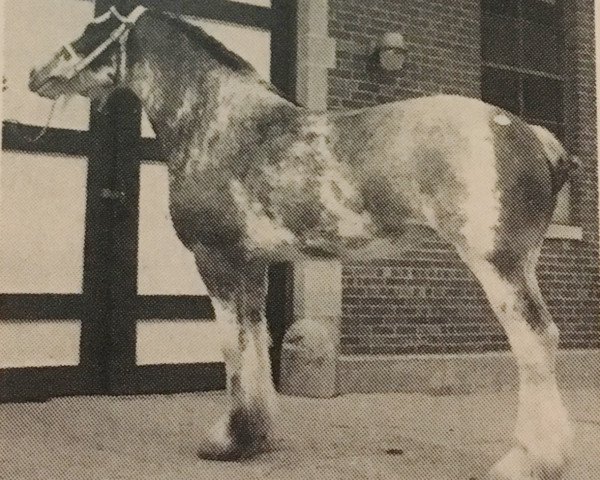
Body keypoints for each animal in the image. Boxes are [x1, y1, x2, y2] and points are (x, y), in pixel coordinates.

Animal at [30, 4, 580, 480]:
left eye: (95, 26)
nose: (37, 73)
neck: (219, 124)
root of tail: (534, 136)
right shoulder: (250, 265)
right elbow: (255, 341)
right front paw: (255, 436)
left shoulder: (216, 260)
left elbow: (232, 346)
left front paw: (228, 441)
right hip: (523, 263)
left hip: (498, 264)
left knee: (534, 342)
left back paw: (527, 461)